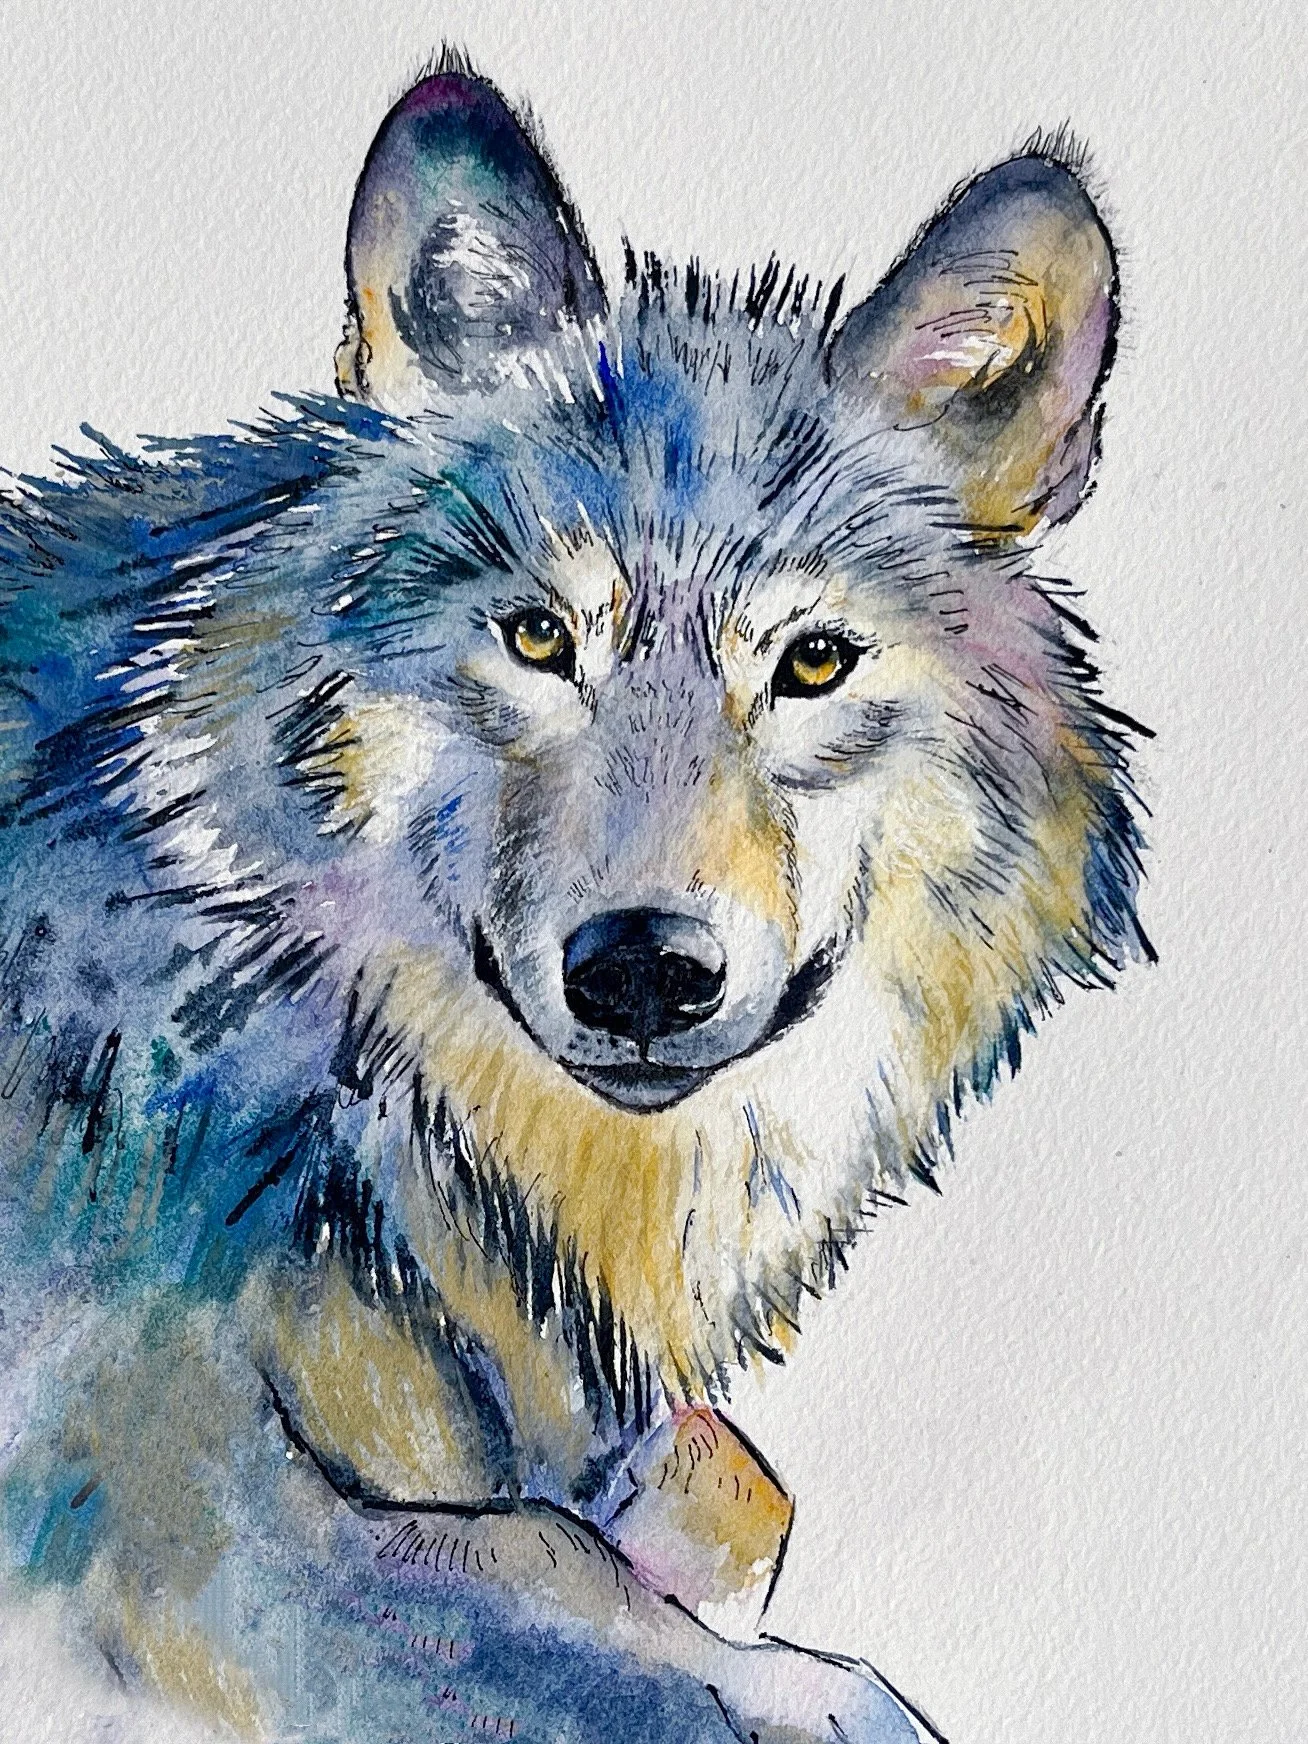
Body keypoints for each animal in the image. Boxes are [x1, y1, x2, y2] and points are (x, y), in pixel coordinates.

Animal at [0, 55, 1148, 1744]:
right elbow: (664, 1637)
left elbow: (710, 1501)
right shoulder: (156, 1506)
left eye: (812, 662)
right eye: (541, 638)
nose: (644, 969)